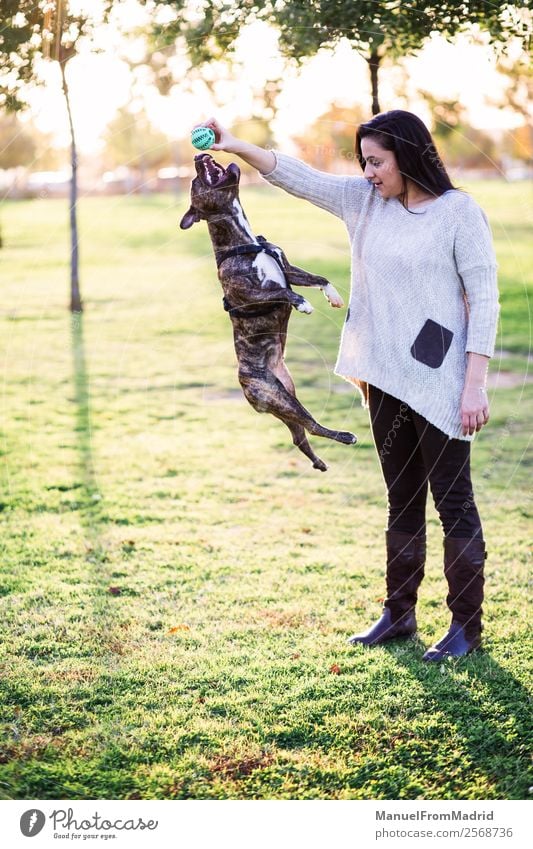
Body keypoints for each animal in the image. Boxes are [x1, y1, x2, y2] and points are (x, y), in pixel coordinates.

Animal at [180, 152, 358, 470]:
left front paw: (333, 296)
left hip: (284, 396)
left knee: (299, 435)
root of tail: (245, 384)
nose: (198, 155)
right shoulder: (250, 295)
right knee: (311, 426)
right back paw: (345, 437)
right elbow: (283, 292)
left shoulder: (287, 269)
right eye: (194, 182)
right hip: (278, 397)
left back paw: (318, 462)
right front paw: (303, 303)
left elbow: (317, 278)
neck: (245, 241)